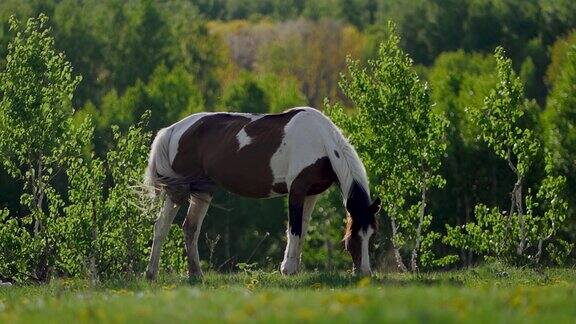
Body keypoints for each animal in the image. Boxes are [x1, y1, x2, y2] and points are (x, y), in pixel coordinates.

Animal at [143, 107, 380, 278]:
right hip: (178, 190)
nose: (365, 273)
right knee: (161, 226)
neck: (320, 142)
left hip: (203, 189)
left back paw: (196, 275)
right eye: (353, 237)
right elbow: (294, 229)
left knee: (190, 228)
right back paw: (151, 273)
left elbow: (303, 228)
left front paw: (295, 267)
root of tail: (173, 129)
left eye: (371, 235)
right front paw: (288, 269)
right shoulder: (297, 190)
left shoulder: (312, 194)